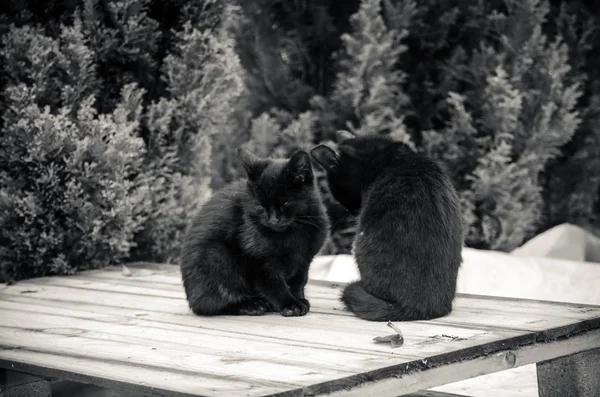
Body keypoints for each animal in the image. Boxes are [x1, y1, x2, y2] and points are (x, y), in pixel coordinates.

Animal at [180, 147, 328, 318]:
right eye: (260, 205)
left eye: (285, 202)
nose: (273, 220)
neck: (292, 233)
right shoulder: (258, 262)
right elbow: (274, 285)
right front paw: (290, 304)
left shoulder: (304, 260)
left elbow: (298, 281)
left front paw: (299, 299)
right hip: (217, 256)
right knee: (211, 303)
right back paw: (252, 304)